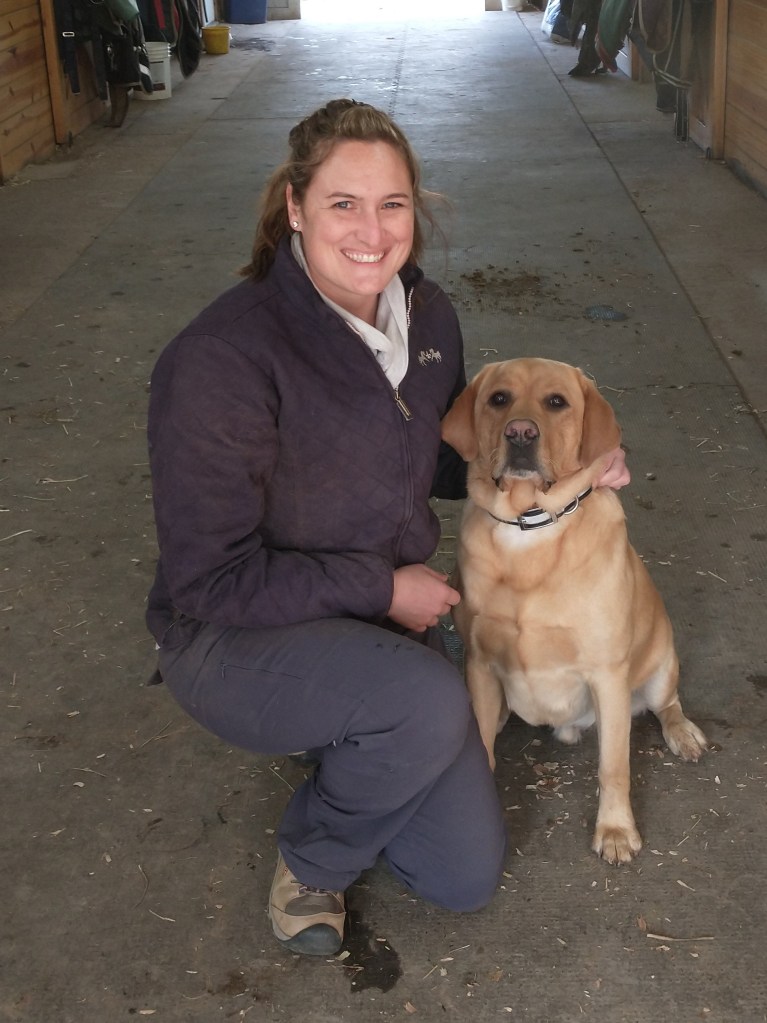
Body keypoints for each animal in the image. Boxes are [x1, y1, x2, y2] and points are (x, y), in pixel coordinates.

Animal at [441, 357, 707, 864]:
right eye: (499, 399)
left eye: (556, 402)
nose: (520, 433)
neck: (527, 527)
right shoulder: (480, 664)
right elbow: (481, 743)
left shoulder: (607, 675)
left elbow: (613, 767)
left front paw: (616, 830)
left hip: (660, 667)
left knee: (667, 705)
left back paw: (682, 733)